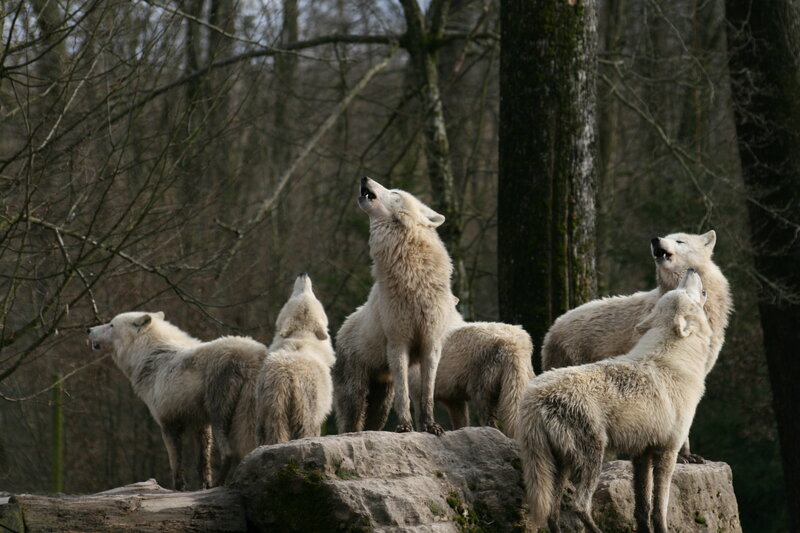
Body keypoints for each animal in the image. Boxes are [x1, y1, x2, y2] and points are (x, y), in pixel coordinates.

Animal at [88, 312, 267, 489]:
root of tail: (250, 357)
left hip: (220, 417)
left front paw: (179, 490)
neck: (150, 357)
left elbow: (176, 468)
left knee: (228, 453)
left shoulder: (168, 424)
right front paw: (203, 488)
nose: (89, 330)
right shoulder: (200, 425)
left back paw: (219, 485)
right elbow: (202, 466)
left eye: (111, 324)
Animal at [256, 273, 335, 444]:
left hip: (267, 412)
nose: (303, 274)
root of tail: (284, 377)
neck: (302, 335)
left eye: (310, 293)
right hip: (305, 412)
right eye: (297, 294)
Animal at [333, 177, 454, 435]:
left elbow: (428, 394)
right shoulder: (398, 343)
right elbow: (404, 395)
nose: (364, 177)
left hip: (380, 401)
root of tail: (344, 324)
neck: (413, 278)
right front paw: (405, 426)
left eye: (395, 193)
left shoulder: (431, 344)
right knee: (350, 424)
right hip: (356, 395)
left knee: (373, 423)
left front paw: (430, 426)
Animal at [517, 269, 713, 533]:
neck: (674, 361)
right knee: (579, 505)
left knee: (552, 512)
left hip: (561, 465)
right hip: (592, 459)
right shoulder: (667, 452)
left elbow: (643, 508)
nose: (690, 270)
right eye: (685, 291)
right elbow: (660, 509)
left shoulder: (642, 454)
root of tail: (533, 397)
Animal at [541, 230, 731, 461]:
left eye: (679, 240)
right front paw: (683, 455)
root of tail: (554, 326)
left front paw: (688, 455)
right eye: (667, 236)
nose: (655, 240)